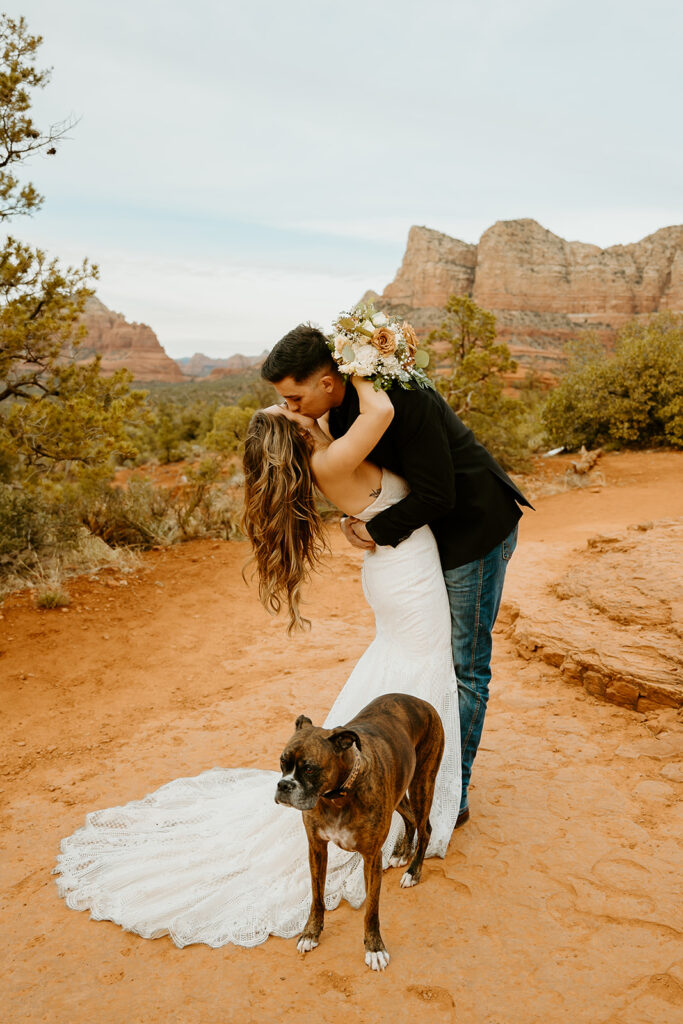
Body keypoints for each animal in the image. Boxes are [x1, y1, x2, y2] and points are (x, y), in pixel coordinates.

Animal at [274, 692, 446, 970]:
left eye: (309, 768)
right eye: (282, 762)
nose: (283, 785)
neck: (336, 797)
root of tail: (420, 701)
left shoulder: (371, 857)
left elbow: (371, 910)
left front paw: (374, 948)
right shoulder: (317, 848)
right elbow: (317, 896)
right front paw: (311, 933)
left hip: (422, 782)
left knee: (425, 828)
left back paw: (413, 871)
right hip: (399, 792)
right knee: (409, 819)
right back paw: (401, 853)